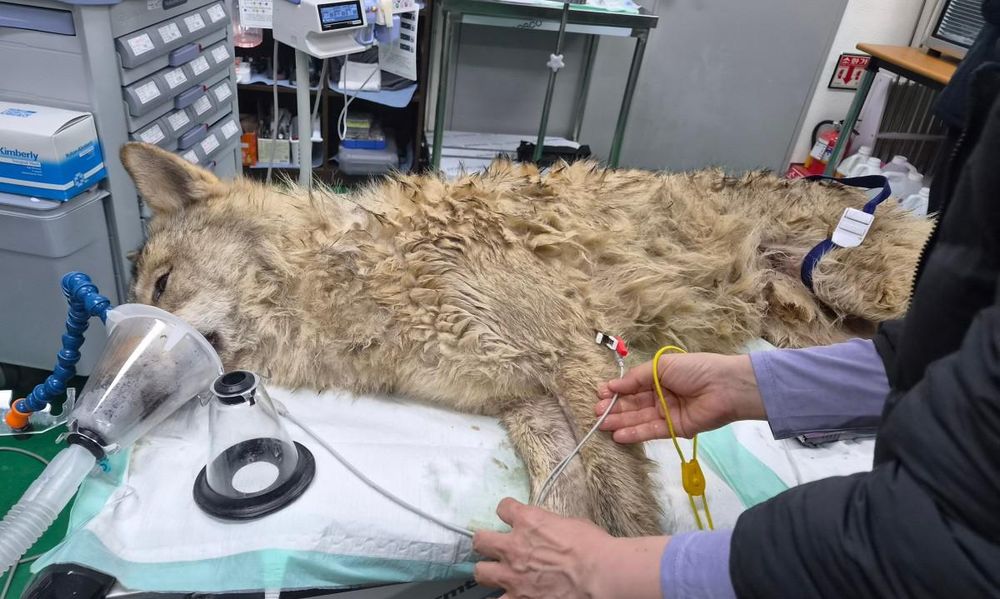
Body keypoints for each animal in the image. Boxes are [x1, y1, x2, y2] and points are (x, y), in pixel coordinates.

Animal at [121, 143, 931, 536]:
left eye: (160, 286)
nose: (108, 419)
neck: (352, 272)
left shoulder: (576, 358)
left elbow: (623, 514)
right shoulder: (527, 403)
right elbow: (564, 497)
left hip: (865, 291)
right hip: (807, 329)